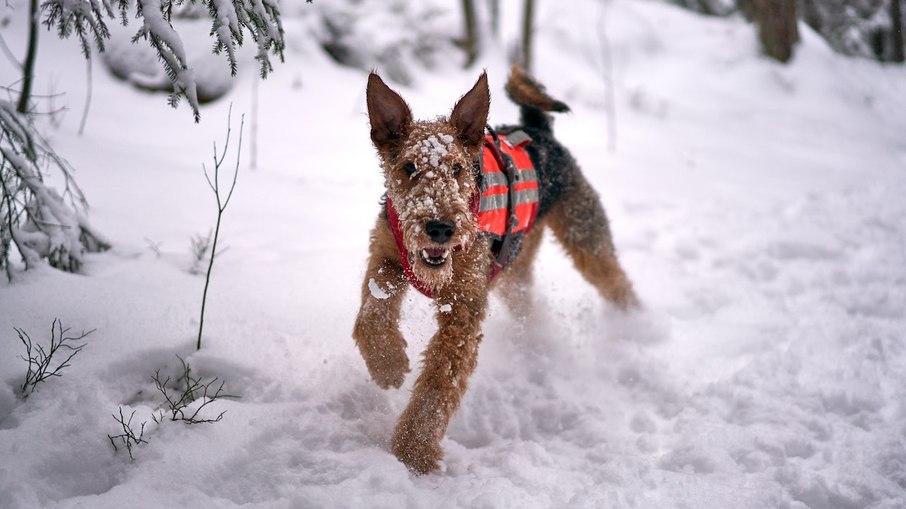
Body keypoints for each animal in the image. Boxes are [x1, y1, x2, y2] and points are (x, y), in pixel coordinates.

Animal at [354, 65, 636, 474]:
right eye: (409, 167)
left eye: (457, 168)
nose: (441, 228)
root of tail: (538, 129)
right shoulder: (388, 255)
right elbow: (370, 316)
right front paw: (388, 365)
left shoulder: (463, 309)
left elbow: (438, 383)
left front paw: (413, 454)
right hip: (513, 271)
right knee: (530, 302)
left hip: (585, 236)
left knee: (618, 283)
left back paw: (637, 329)